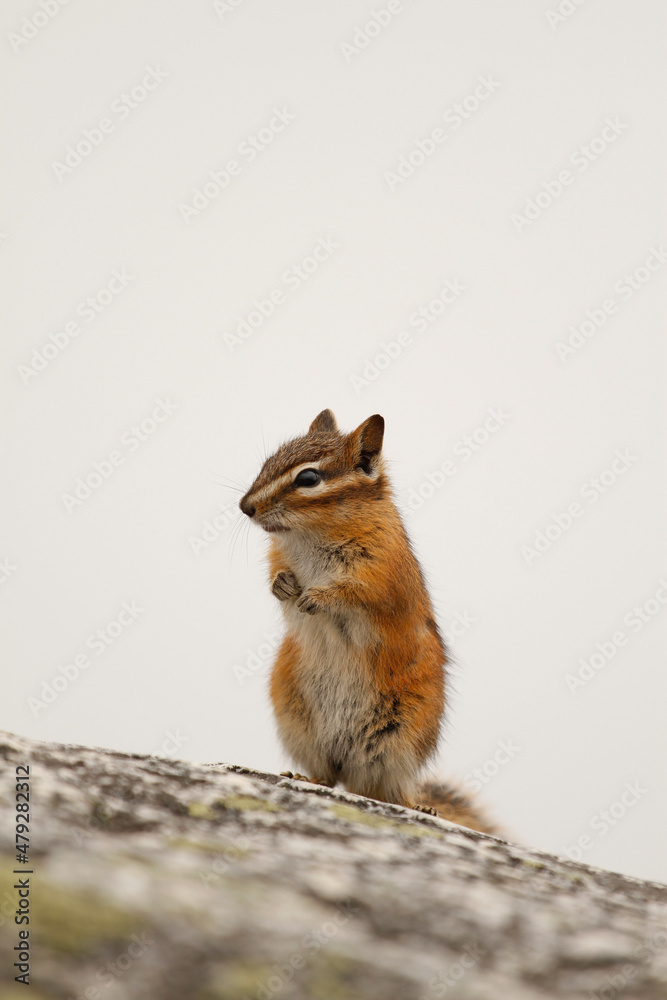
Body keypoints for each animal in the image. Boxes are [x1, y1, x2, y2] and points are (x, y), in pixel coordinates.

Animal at [239, 409, 496, 834]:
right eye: (267, 463)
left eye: (308, 478)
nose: (245, 507)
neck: (310, 535)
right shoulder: (279, 555)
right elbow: (277, 576)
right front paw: (283, 586)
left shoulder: (379, 574)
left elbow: (354, 594)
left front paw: (316, 598)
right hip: (298, 723)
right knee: (328, 777)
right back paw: (304, 777)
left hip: (400, 742)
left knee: (393, 791)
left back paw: (420, 807)